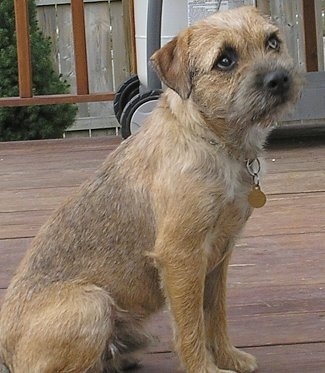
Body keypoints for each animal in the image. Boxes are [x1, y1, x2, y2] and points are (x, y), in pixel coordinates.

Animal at [0, 5, 302, 372]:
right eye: (225, 60)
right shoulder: (181, 256)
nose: (279, 79)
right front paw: (204, 367)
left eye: (272, 42)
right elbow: (190, 326)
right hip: (93, 304)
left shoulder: (220, 256)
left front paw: (229, 357)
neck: (214, 141)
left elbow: (216, 315)